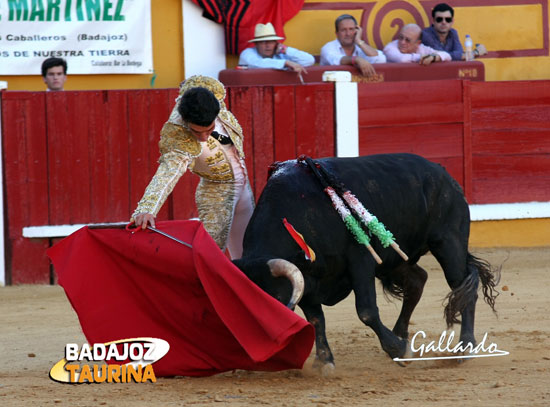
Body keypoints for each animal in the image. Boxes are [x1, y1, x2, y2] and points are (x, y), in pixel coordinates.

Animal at [233, 154, 500, 370]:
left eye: (276, 301)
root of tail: (443, 173)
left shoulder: (360, 260)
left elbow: (366, 311)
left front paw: (398, 349)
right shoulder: (307, 278)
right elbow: (316, 318)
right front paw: (324, 361)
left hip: (449, 243)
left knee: (462, 287)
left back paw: (464, 348)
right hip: (396, 256)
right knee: (418, 281)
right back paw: (401, 335)